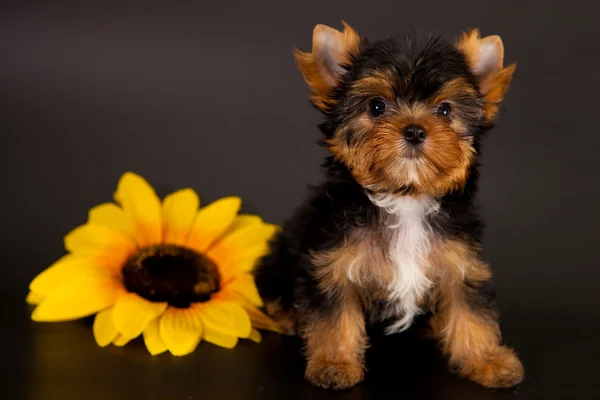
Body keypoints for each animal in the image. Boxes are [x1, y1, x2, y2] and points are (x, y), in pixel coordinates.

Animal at [255, 21, 524, 390]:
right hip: (281, 256)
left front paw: (488, 361)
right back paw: (289, 319)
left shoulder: (461, 261)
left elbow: (471, 311)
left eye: (445, 110)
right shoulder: (331, 262)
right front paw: (334, 363)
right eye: (376, 106)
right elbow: (334, 314)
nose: (414, 130)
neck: (404, 197)